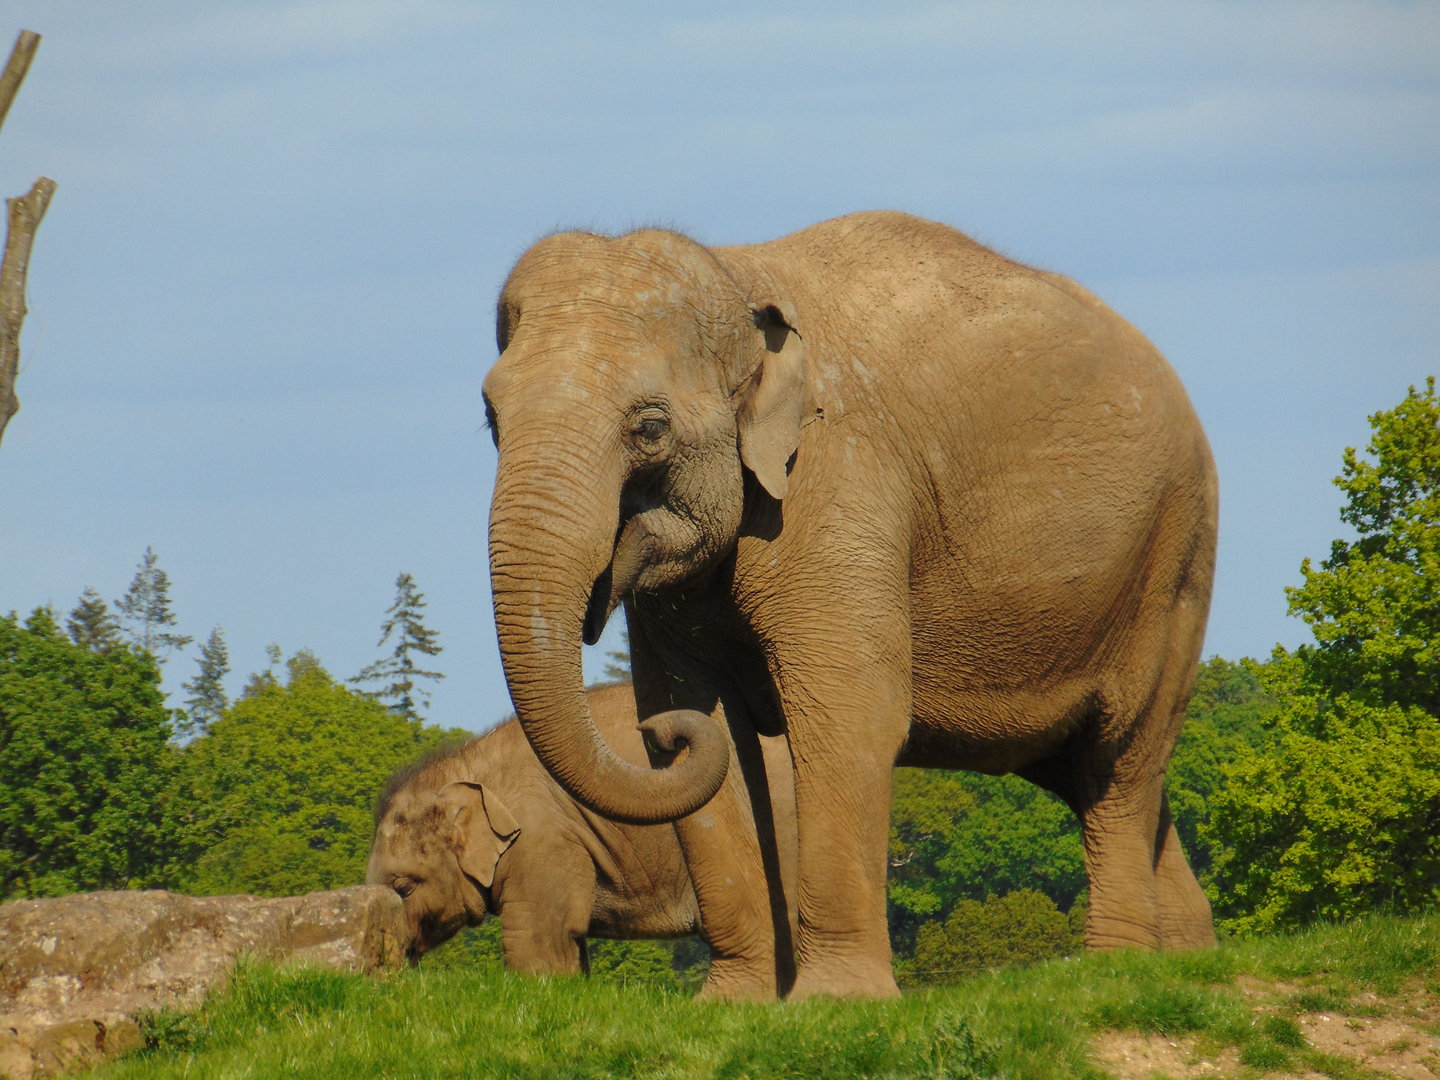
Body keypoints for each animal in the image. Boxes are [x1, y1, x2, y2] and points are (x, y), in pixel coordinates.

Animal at [481, 210, 1218, 1000]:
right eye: (490, 416)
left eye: (649, 427)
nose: (595, 607)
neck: (738, 276)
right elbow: (706, 724)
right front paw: (735, 1004)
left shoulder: (840, 483)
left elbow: (846, 715)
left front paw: (834, 1000)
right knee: (1095, 772)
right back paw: (1191, 961)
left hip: (1174, 558)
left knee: (1121, 755)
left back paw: (1117, 971)